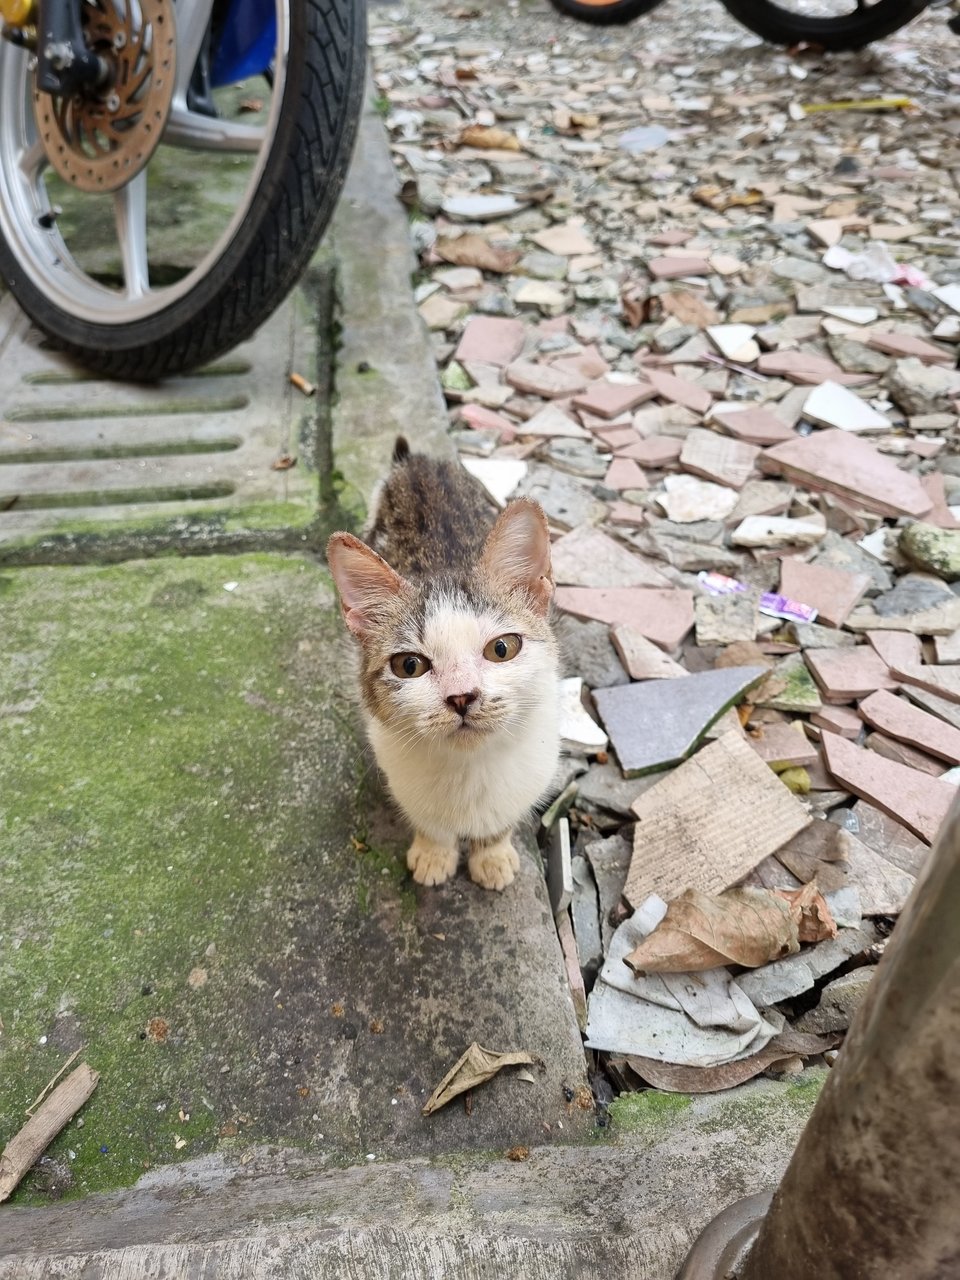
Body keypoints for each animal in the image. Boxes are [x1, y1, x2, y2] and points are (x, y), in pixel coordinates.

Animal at [327, 440, 560, 890]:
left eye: (502, 648)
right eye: (409, 665)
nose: (461, 696)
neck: (470, 770)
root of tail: (418, 461)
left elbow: (500, 822)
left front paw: (493, 855)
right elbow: (430, 823)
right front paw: (434, 854)